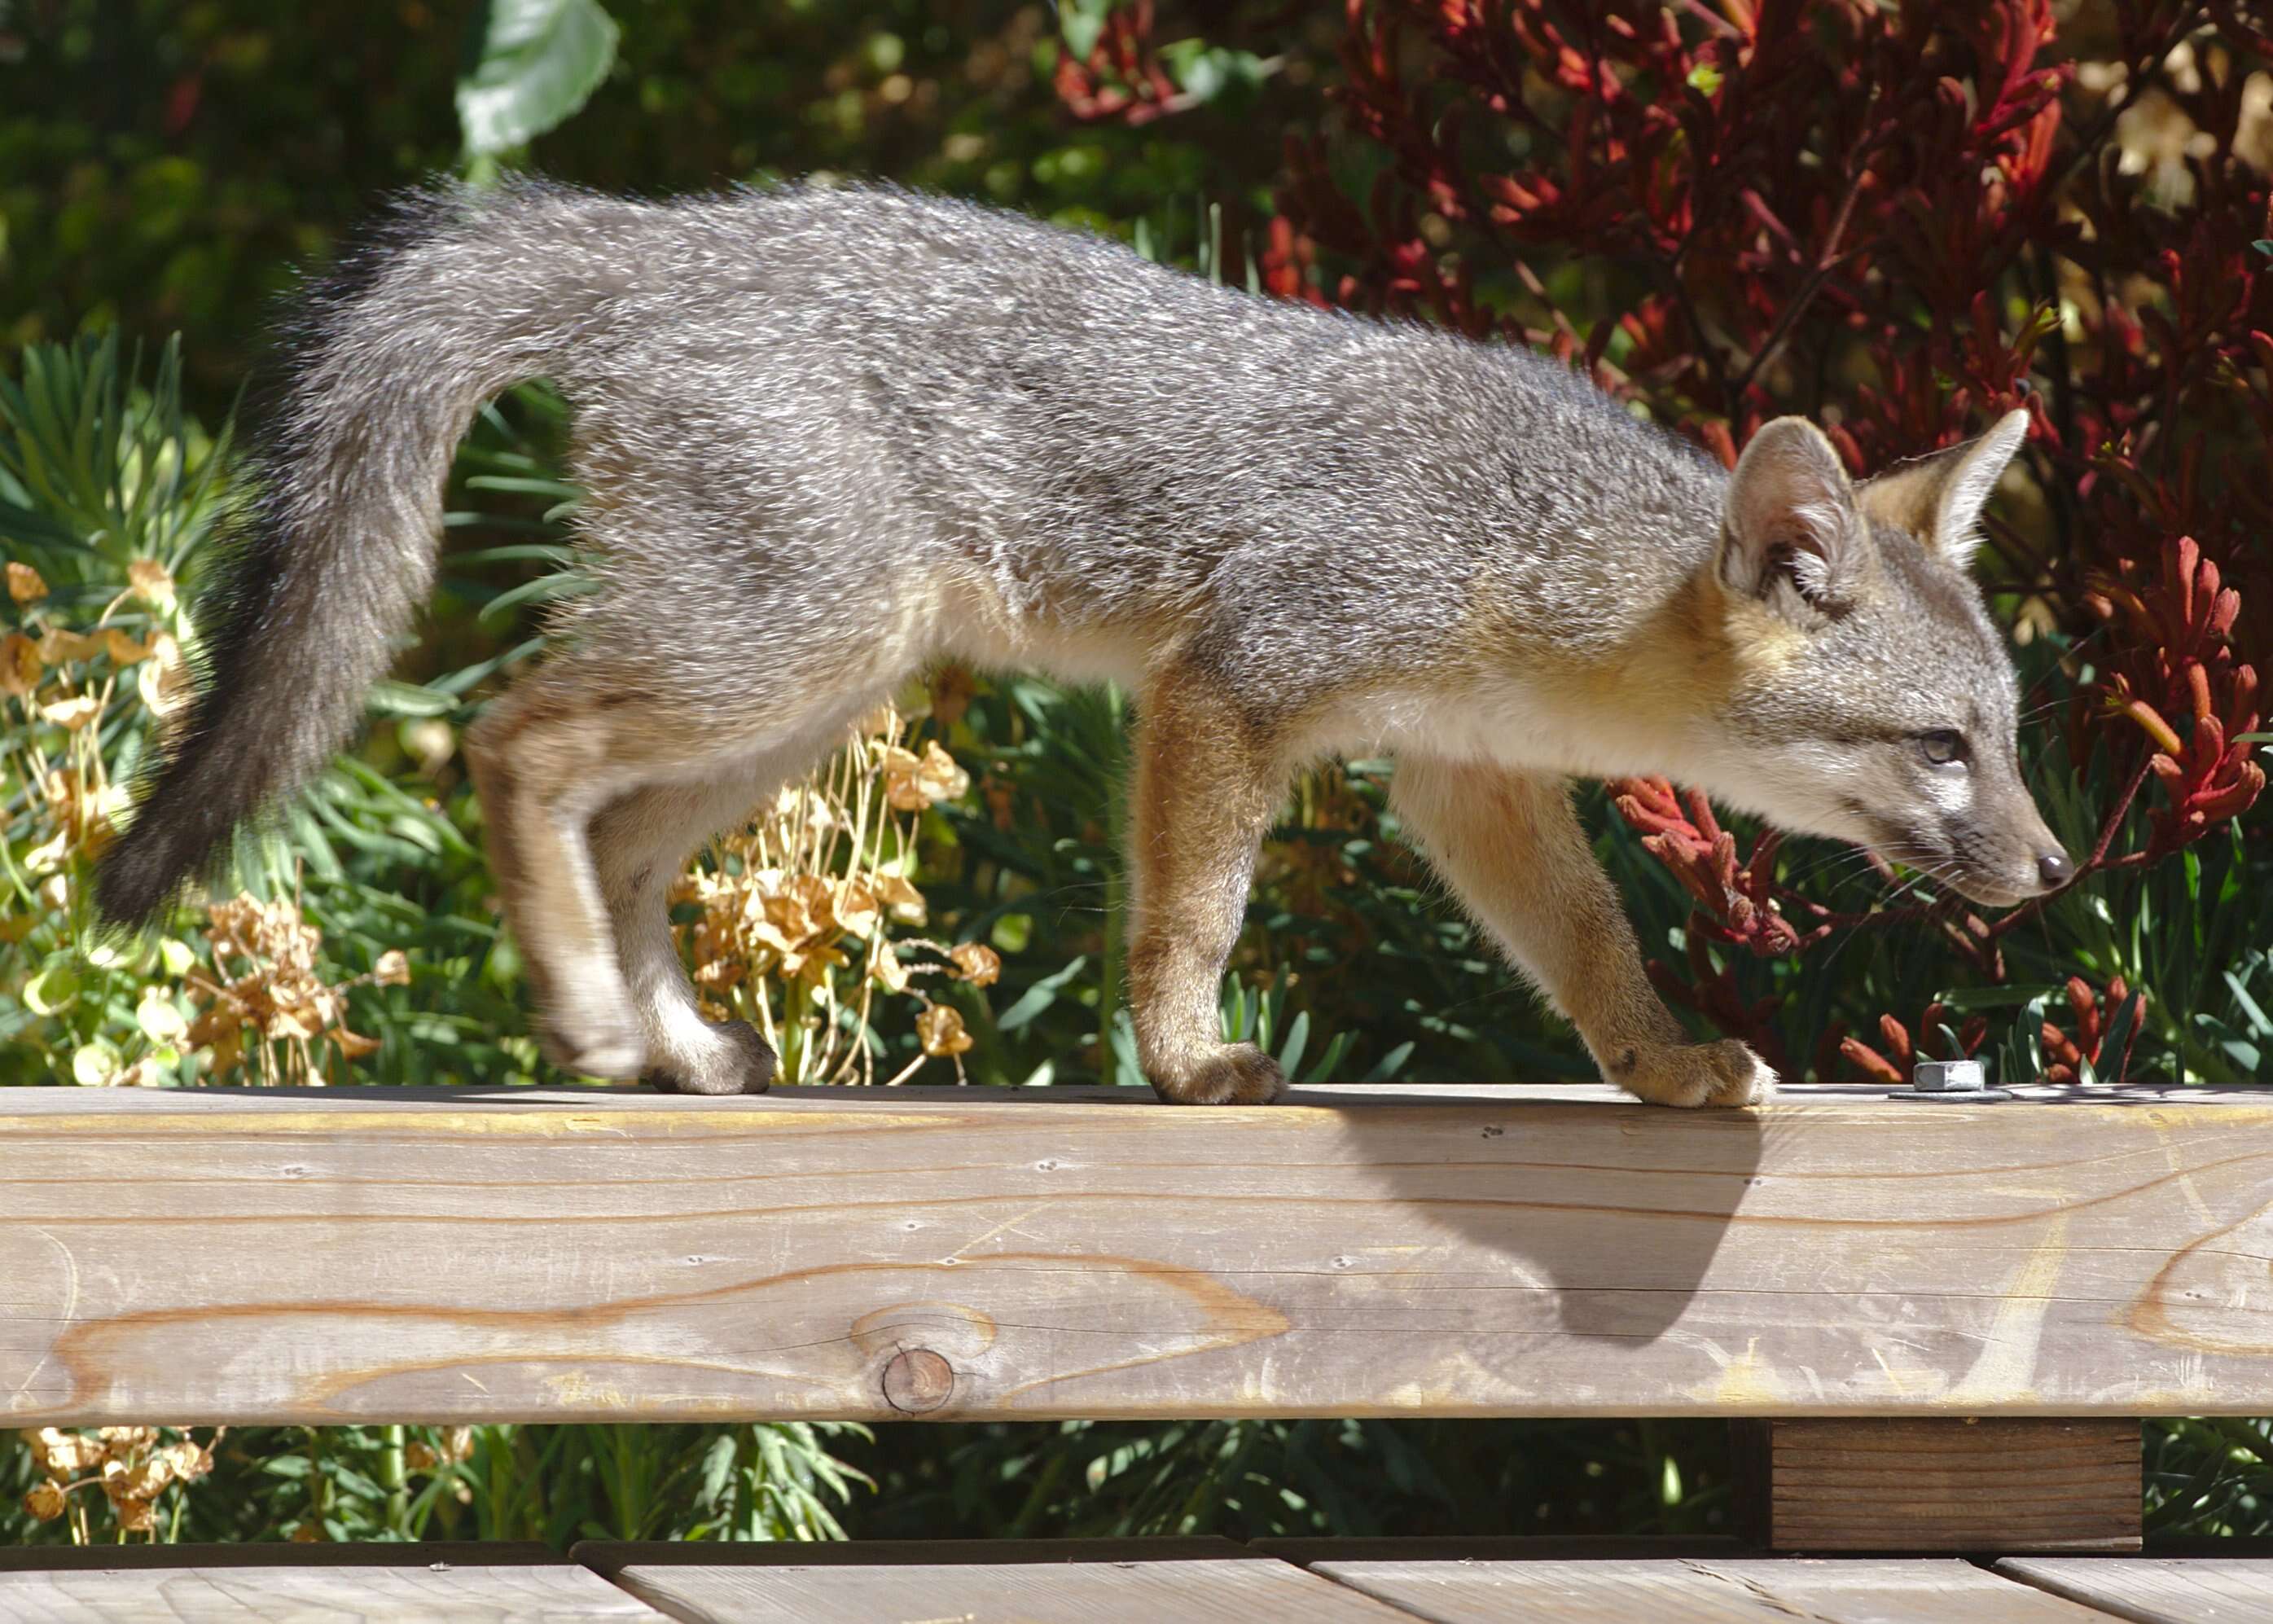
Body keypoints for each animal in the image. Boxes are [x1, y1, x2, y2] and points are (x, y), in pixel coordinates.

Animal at [98, 182, 2073, 1105]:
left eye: (2008, 732)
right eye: (1941, 747)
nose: (2059, 870)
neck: (1533, 563)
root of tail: (668, 237)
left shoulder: (1466, 778)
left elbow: (1591, 944)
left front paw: (1660, 1061)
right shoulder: (1233, 687)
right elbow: (1191, 914)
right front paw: (1191, 1062)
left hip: (803, 692)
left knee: (620, 831)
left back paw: (675, 1047)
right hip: (780, 656)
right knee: (515, 744)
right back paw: (594, 1014)